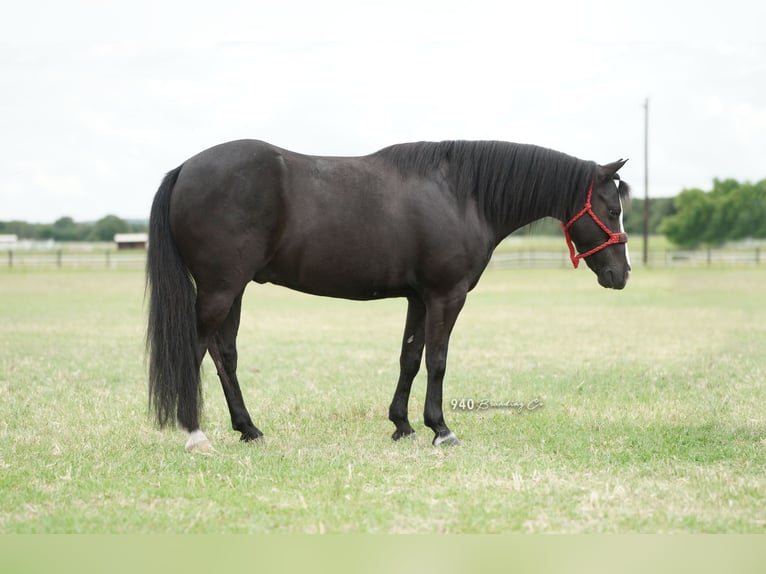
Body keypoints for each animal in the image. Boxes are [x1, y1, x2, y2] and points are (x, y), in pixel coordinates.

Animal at [146, 138, 632, 450]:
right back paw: (196, 434)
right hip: (220, 288)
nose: (622, 274)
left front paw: (403, 425)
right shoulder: (446, 295)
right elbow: (438, 360)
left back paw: (249, 430)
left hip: (233, 290)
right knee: (197, 348)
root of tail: (184, 169)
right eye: (612, 210)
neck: (460, 194)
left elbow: (410, 358)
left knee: (223, 353)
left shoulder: (418, 298)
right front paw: (441, 429)